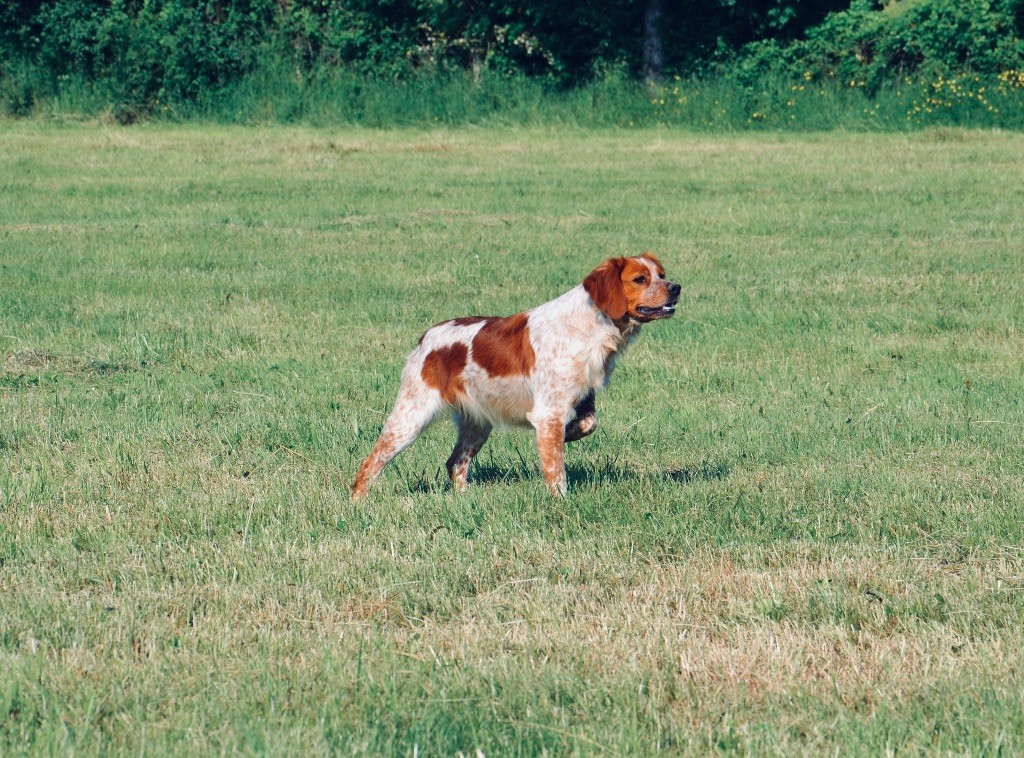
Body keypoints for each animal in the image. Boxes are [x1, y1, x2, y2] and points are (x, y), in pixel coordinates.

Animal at [352, 257, 679, 499]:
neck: (593, 326)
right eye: (640, 279)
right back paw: (358, 503)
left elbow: (587, 425)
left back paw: (463, 498)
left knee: (455, 462)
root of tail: (425, 339)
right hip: (411, 417)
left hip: (477, 423)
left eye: (661, 274)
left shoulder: (581, 399)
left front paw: (569, 435)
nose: (676, 287)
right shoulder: (549, 413)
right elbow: (555, 468)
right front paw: (560, 499)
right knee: (371, 462)